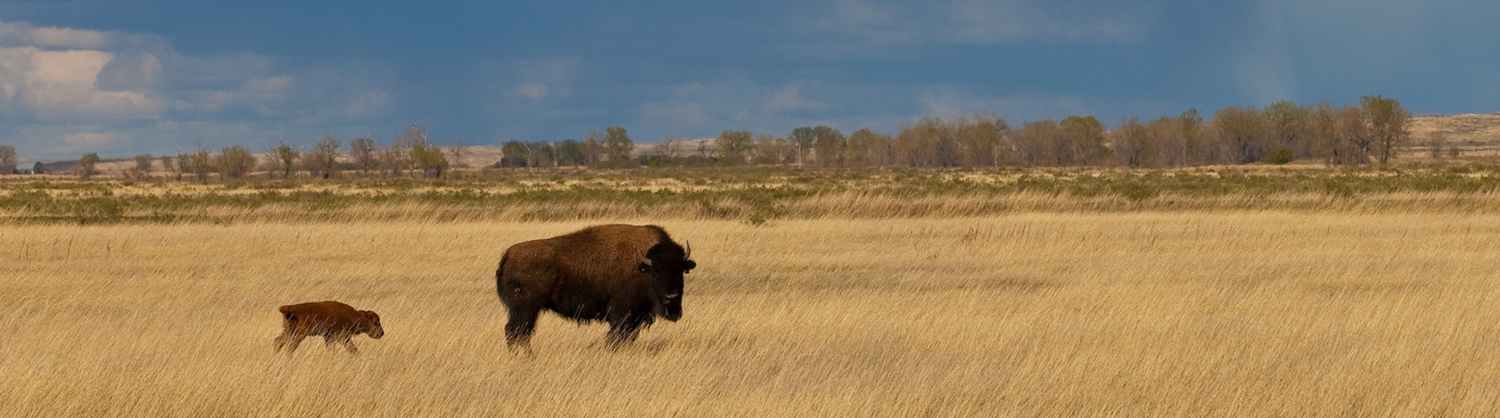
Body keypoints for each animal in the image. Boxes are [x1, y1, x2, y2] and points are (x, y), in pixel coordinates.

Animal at [496, 224, 696, 350]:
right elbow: (617, 336)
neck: (642, 266)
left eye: (680, 271)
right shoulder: (622, 313)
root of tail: (507, 255)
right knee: (517, 332)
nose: (672, 297)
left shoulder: (637, 316)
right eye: (656, 273)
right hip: (525, 310)